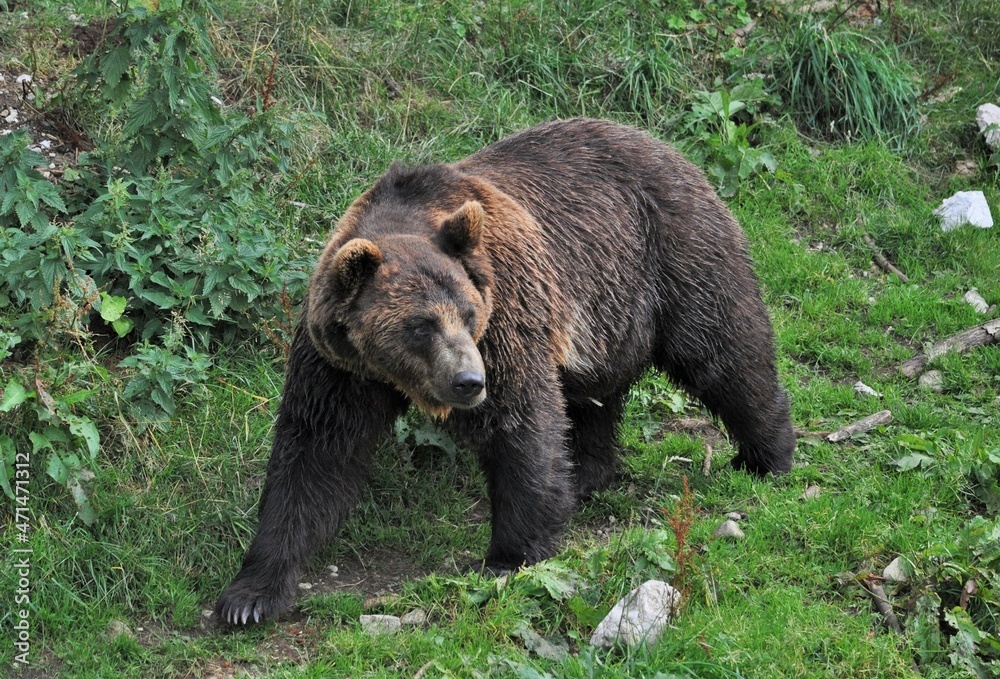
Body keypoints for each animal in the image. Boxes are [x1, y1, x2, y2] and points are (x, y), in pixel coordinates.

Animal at [219, 117, 796, 628]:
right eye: (420, 325)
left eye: (468, 313)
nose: (468, 382)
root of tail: (672, 149)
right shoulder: (339, 365)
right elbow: (316, 452)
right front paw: (249, 596)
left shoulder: (505, 315)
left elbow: (520, 422)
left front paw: (508, 554)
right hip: (605, 314)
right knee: (592, 398)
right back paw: (587, 472)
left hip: (671, 256)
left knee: (724, 352)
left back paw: (765, 455)